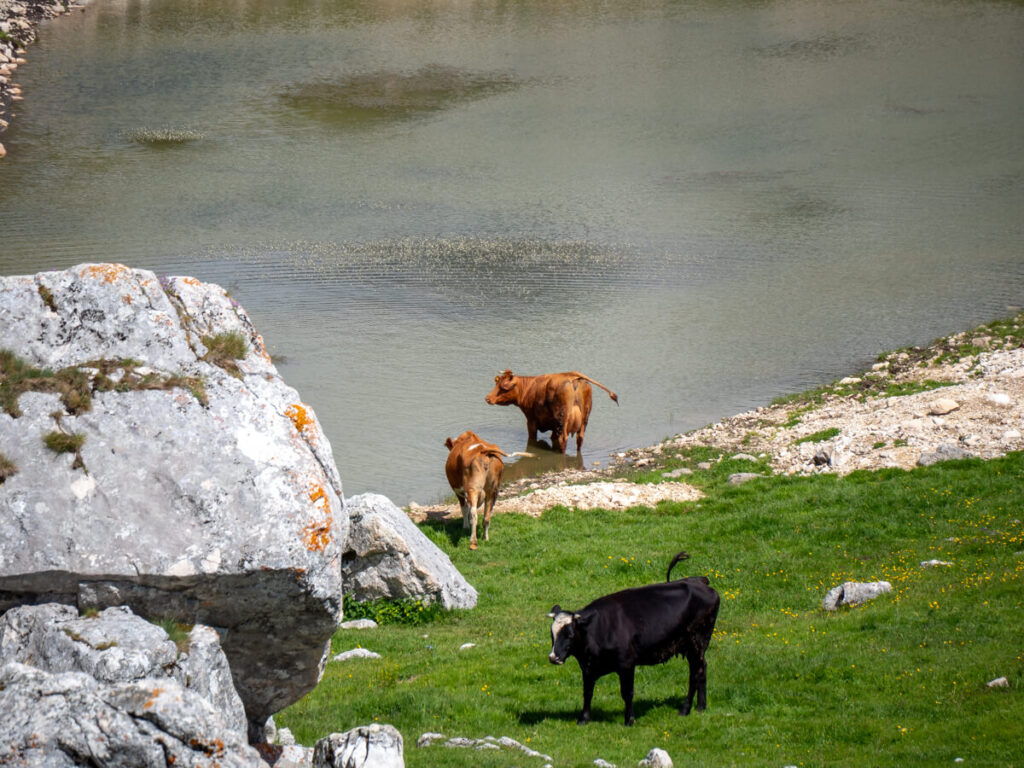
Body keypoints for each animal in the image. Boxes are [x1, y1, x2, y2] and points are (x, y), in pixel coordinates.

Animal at [484, 370, 618, 454]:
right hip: (584, 418)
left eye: (503, 387)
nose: (488, 398)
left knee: (563, 439)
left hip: (562, 418)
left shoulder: (531, 420)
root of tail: (572, 377)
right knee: (580, 438)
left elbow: (532, 438)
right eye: (496, 384)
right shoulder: (553, 425)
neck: (528, 388)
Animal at [547, 551, 720, 726]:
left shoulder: (627, 663)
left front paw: (629, 720)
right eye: (552, 634)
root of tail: (698, 581)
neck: (598, 629)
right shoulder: (588, 667)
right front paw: (583, 719)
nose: (553, 657)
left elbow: (627, 692)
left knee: (696, 672)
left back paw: (685, 709)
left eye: (569, 635)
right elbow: (587, 692)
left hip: (697, 641)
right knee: (702, 668)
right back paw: (701, 706)